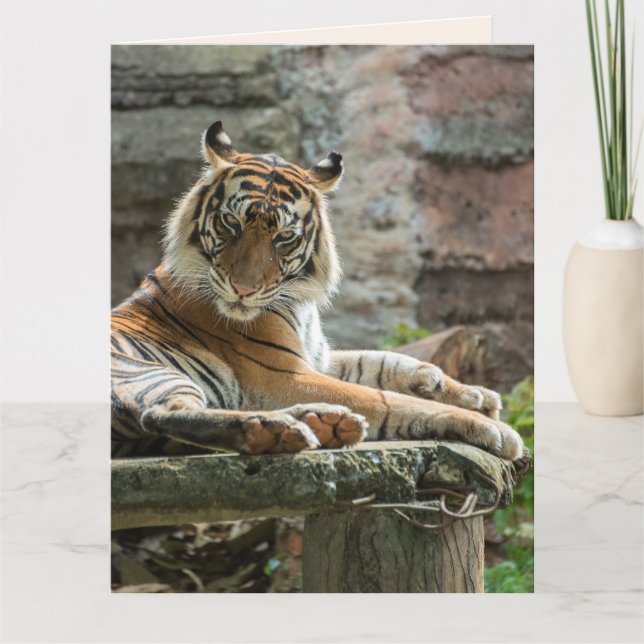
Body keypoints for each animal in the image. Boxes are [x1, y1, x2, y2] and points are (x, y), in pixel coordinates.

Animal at [111, 120, 524, 461]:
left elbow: (384, 361)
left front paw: (473, 394)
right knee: (162, 413)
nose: (242, 290)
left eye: (284, 237)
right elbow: (387, 399)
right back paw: (277, 431)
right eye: (231, 223)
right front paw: (494, 428)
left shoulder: (315, 357)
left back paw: (322, 422)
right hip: (147, 373)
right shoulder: (283, 374)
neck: (295, 301)